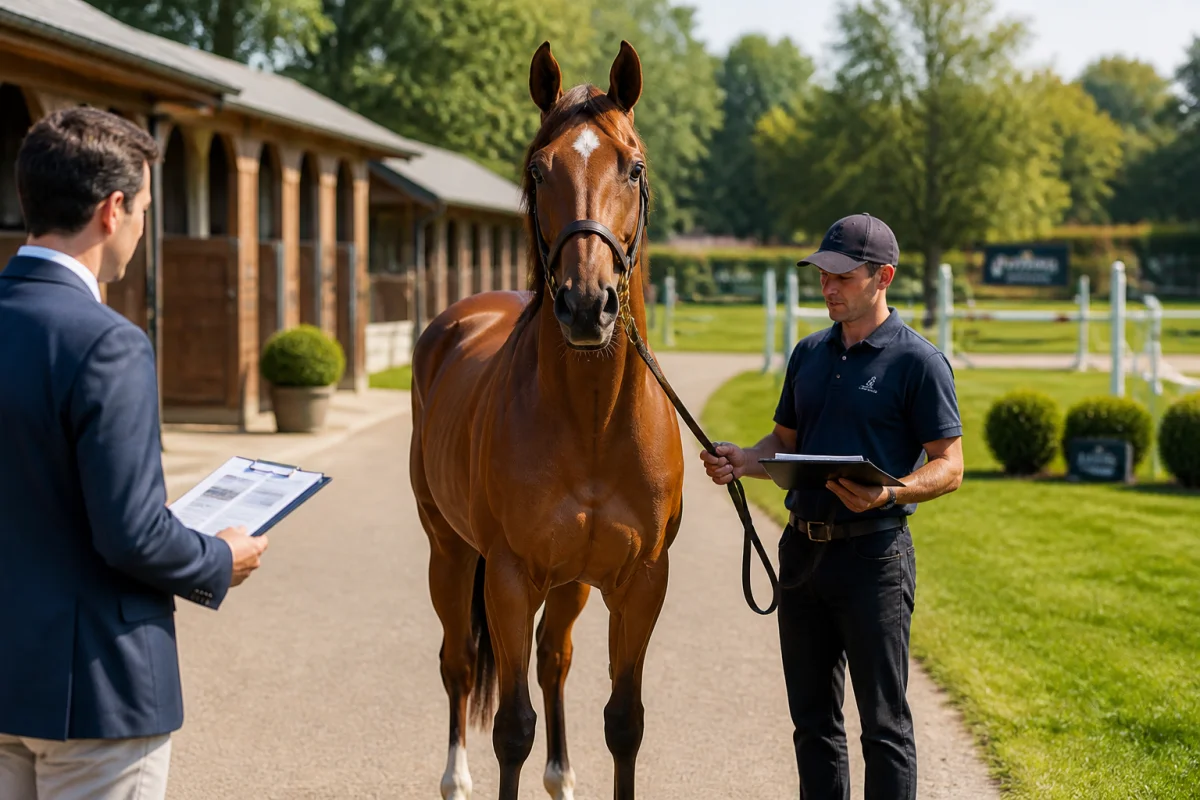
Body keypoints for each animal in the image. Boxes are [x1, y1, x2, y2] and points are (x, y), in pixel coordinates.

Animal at [409, 39, 686, 800]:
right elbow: (511, 728)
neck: (591, 424)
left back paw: (561, 776)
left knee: (552, 658)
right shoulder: (508, 577)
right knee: (457, 661)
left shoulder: (639, 583)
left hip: (570, 584)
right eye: (539, 169)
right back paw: (454, 777)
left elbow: (624, 722)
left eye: (633, 167)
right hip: (450, 553)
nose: (587, 305)